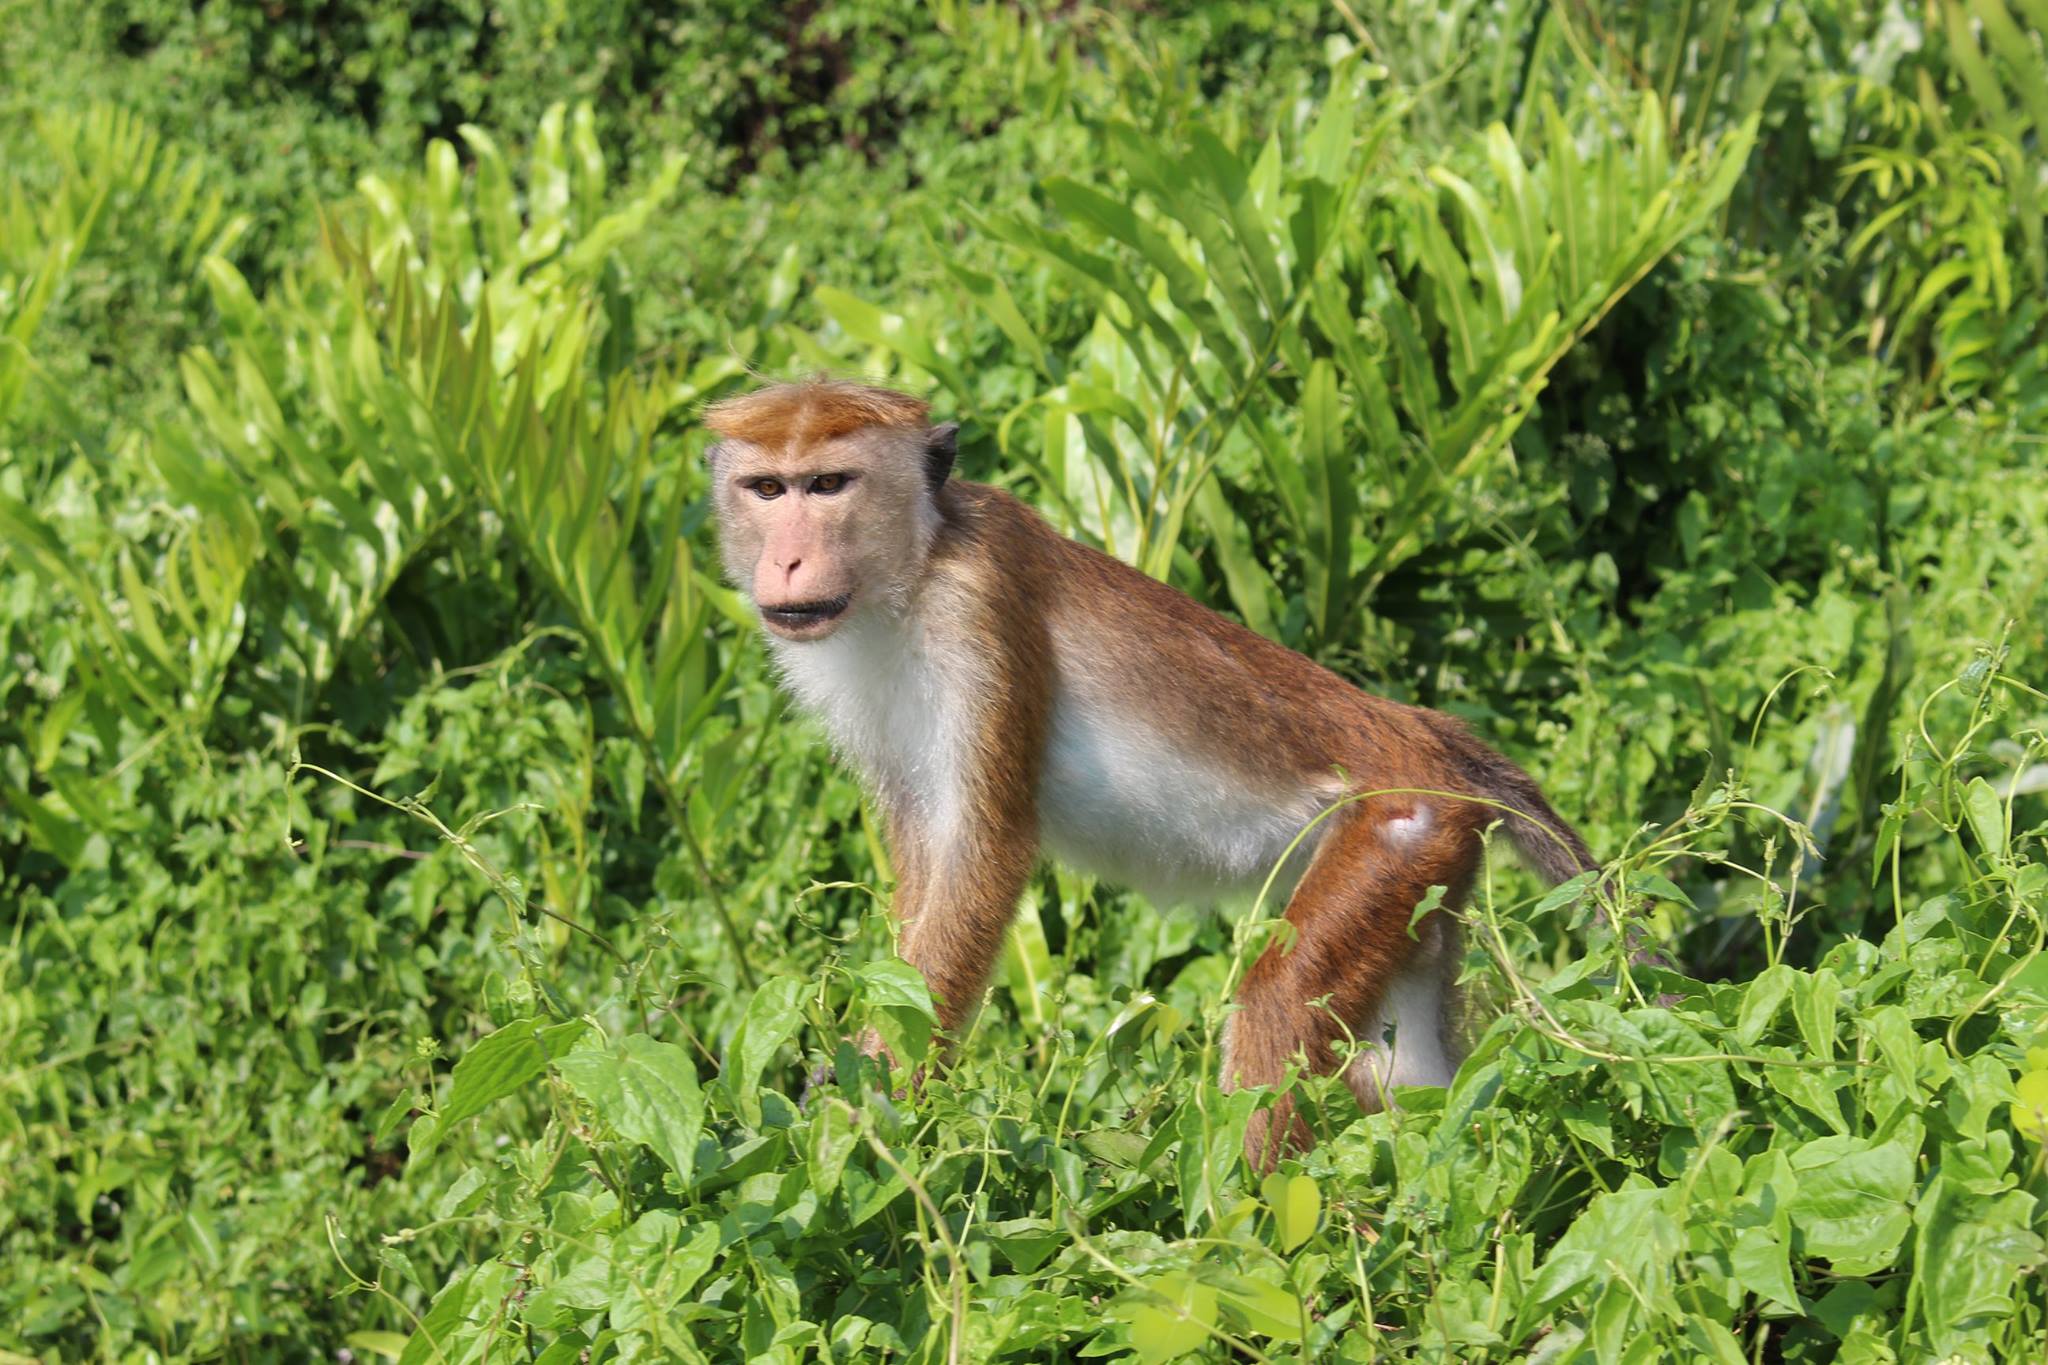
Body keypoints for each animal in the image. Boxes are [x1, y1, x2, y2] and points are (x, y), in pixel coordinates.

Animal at [708, 378, 1597, 1170]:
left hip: (1392, 828)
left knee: (1279, 1000)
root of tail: (1431, 739)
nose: (789, 559)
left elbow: (983, 855)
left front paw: (871, 1110)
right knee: (1406, 1073)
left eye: (829, 484)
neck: (915, 569)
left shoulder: (978, 606)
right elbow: (928, 854)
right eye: (767, 487)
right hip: (1423, 870)